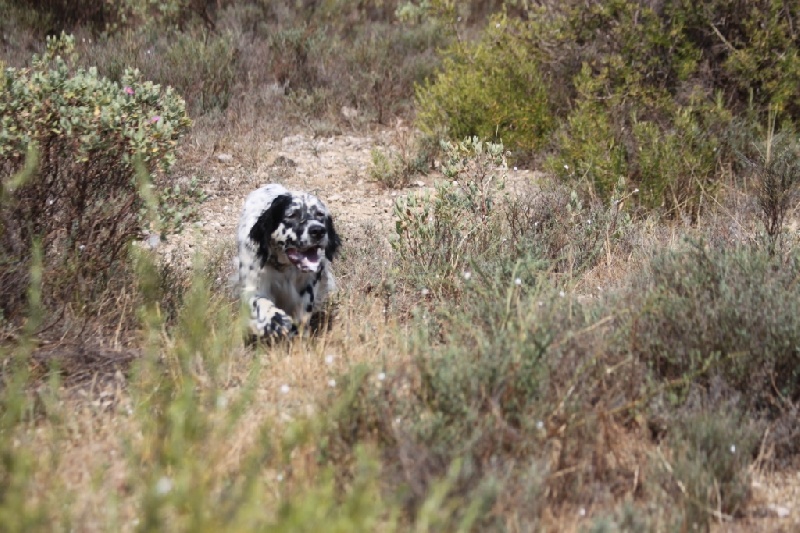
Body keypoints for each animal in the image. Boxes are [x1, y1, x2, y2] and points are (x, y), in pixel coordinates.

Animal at [234, 185, 340, 338]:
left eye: (320, 214)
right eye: (292, 215)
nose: (318, 231)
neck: (284, 267)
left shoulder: (309, 285)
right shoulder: (251, 287)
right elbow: (260, 302)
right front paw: (276, 319)